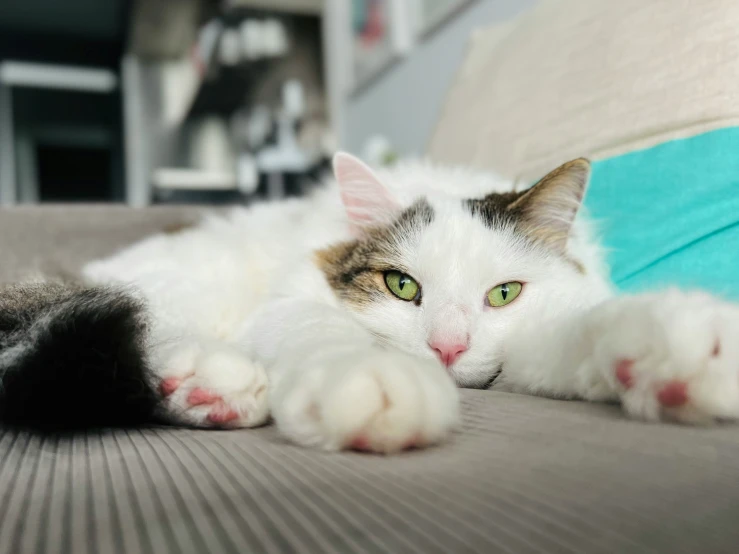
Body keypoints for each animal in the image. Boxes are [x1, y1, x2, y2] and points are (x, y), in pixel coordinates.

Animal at [1, 152, 739, 448]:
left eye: (502, 294)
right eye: (401, 286)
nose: (446, 348)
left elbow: (587, 331)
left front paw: (679, 350)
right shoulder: (287, 303)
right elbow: (330, 338)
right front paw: (373, 386)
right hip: (186, 288)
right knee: (135, 324)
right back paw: (213, 383)